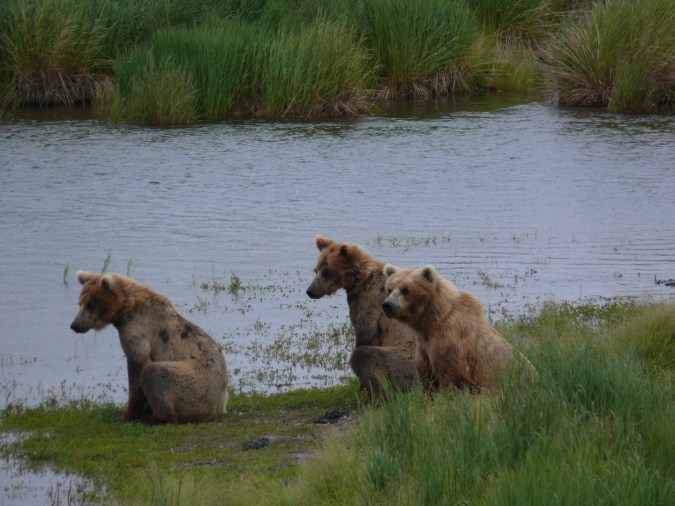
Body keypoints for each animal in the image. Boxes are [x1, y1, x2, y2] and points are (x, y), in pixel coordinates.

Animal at [70, 271, 229, 424]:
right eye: (80, 303)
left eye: (91, 304)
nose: (75, 325)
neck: (125, 311)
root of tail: (219, 406)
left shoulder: (138, 330)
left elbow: (138, 367)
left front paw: (127, 415)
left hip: (197, 385)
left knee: (154, 372)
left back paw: (154, 418)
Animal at [306, 235, 418, 400]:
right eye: (316, 270)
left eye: (327, 272)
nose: (310, 291)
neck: (360, 280)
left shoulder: (367, 302)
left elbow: (365, 335)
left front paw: (361, 388)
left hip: (404, 359)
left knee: (363, 356)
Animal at [382, 263, 533, 392]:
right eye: (389, 289)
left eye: (406, 290)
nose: (388, 305)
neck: (428, 322)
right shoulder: (423, 345)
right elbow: (426, 377)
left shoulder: (450, 338)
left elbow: (451, 375)